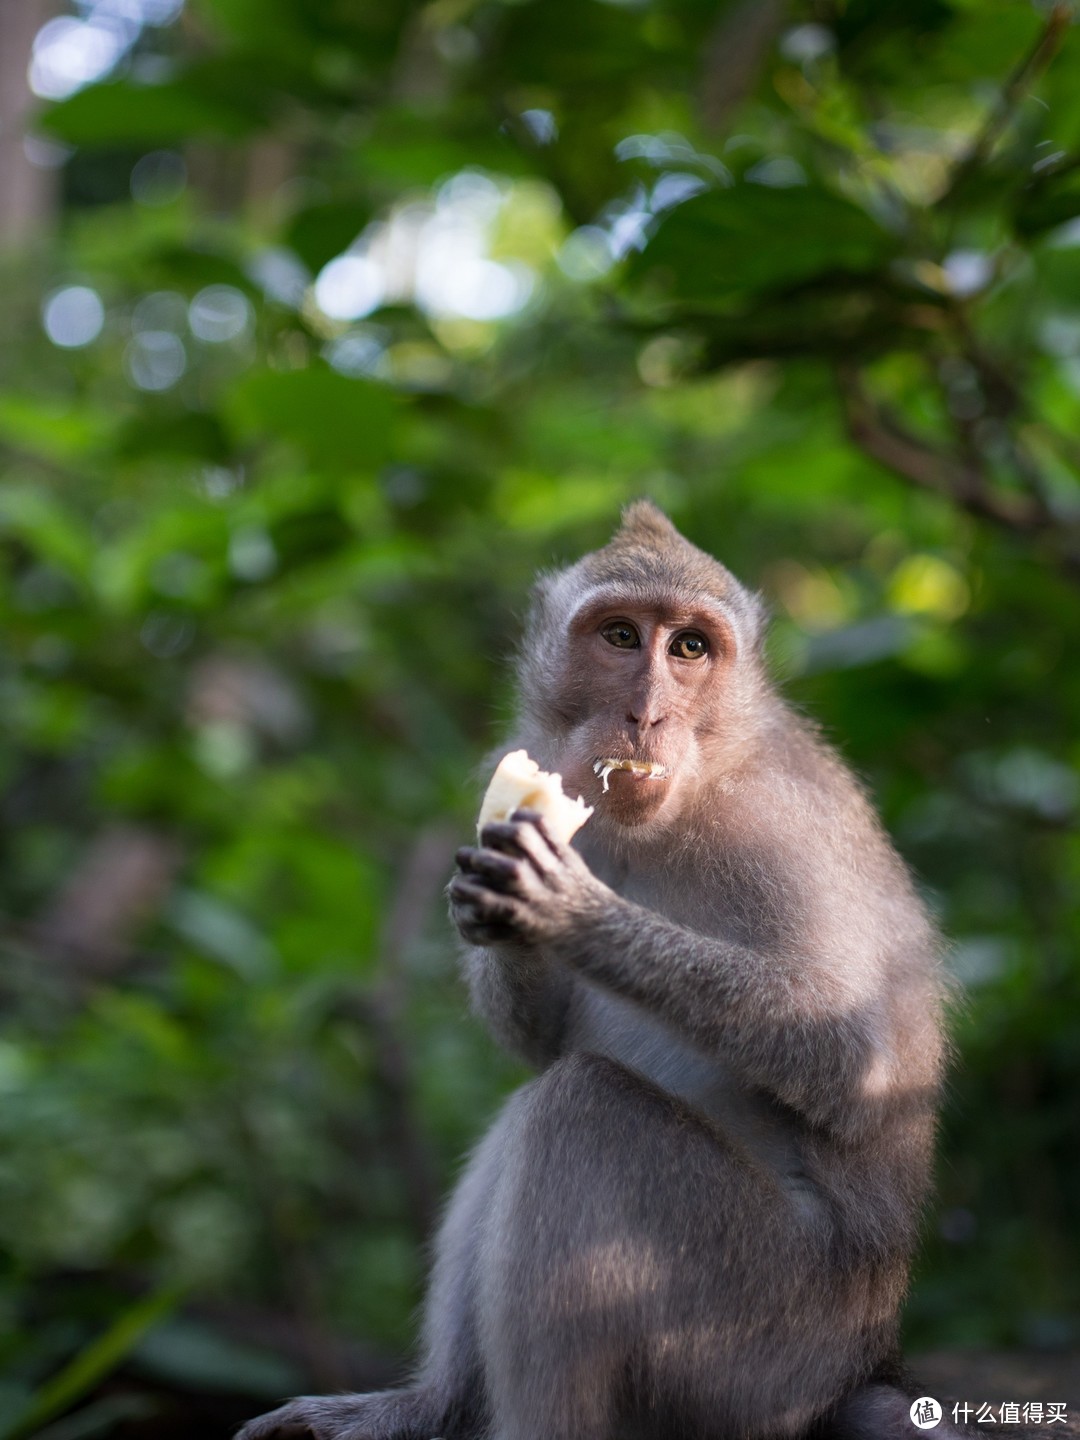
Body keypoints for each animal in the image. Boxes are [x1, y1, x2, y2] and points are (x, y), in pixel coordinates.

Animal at [240, 504, 950, 1440]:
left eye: (690, 649)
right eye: (620, 636)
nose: (645, 715)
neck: (695, 788)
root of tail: (862, 1363)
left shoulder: (778, 829)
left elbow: (862, 1062)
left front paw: (567, 909)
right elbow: (539, 1046)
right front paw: (488, 911)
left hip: (756, 1339)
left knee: (583, 1113)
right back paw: (431, 1406)